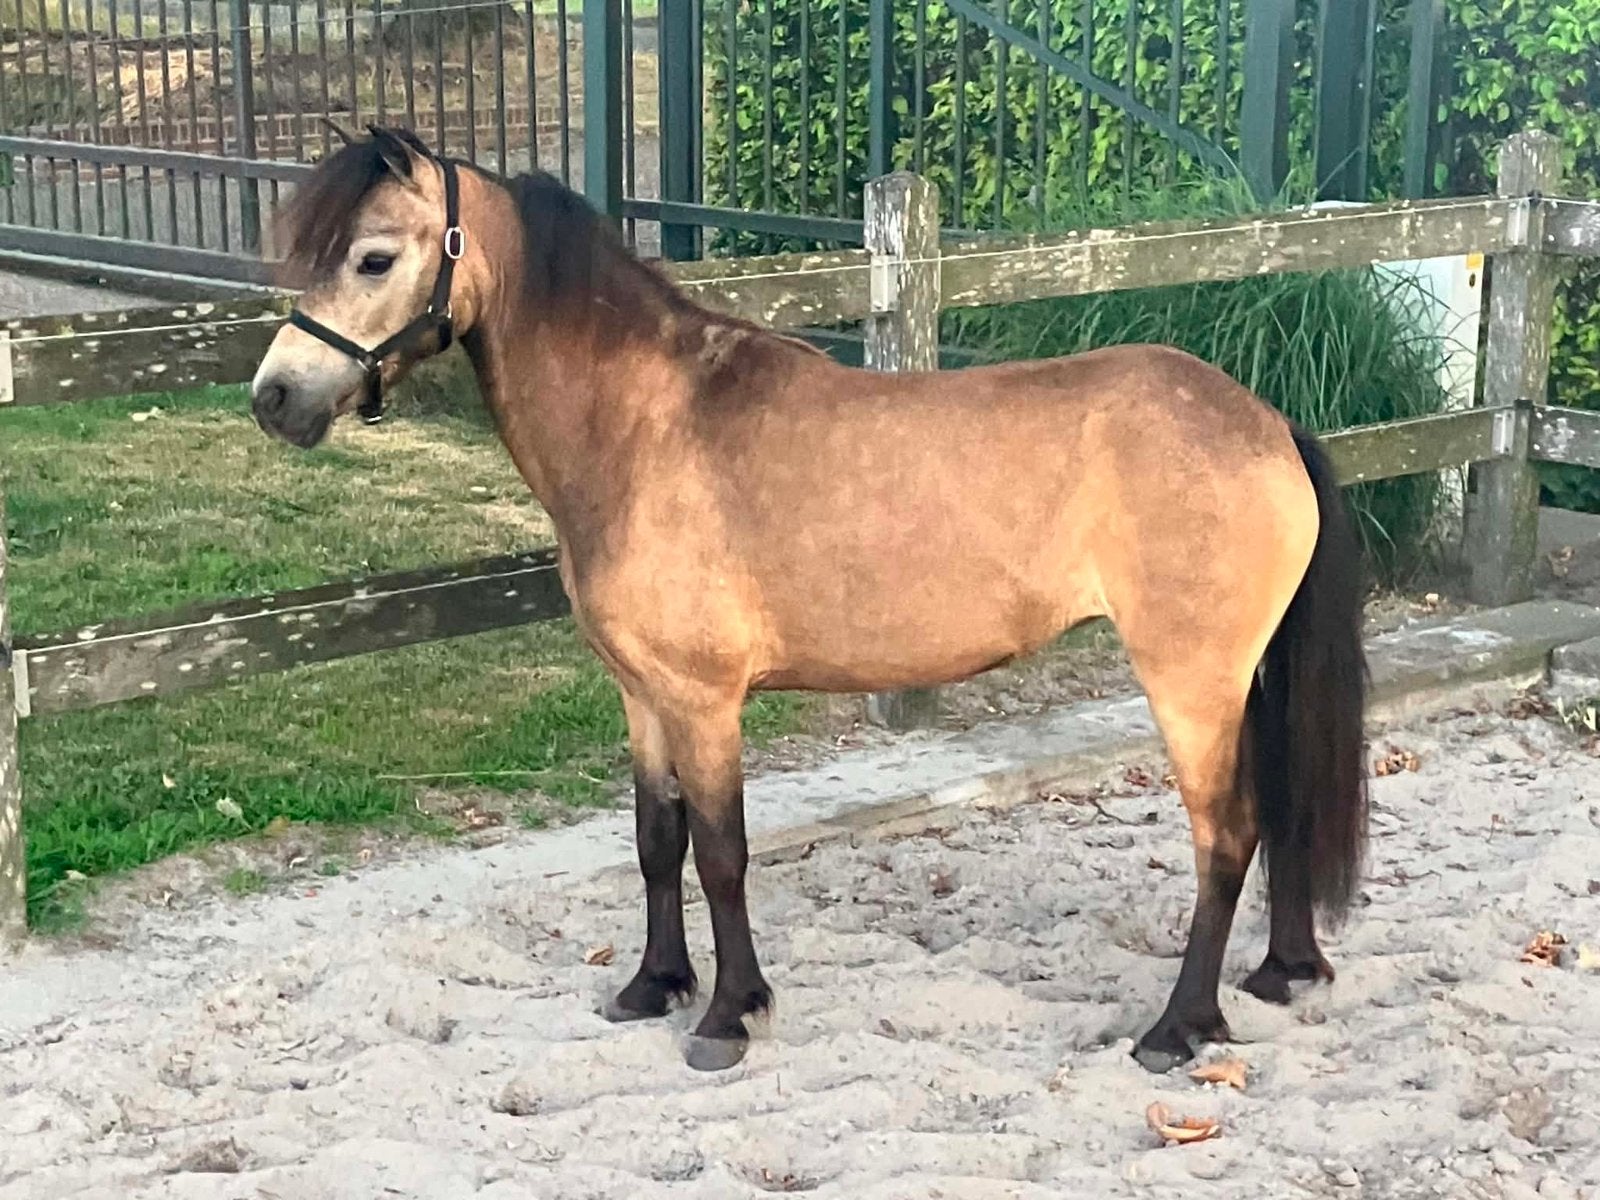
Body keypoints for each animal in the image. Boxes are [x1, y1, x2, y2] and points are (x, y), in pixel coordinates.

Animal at [250, 125, 1368, 1074]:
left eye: (374, 259)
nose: (274, 399)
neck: (646, 426)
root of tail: (1267, 423)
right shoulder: (642, 695)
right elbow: (655, 843)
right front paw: (652, 986)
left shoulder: (705, 701)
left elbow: (721, 853)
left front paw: (726, 1016)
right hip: (1237, 680)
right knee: (1278, 809)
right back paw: (1279, 975)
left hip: (1189, 683)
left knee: (1224, 836)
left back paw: (1178, 1028)